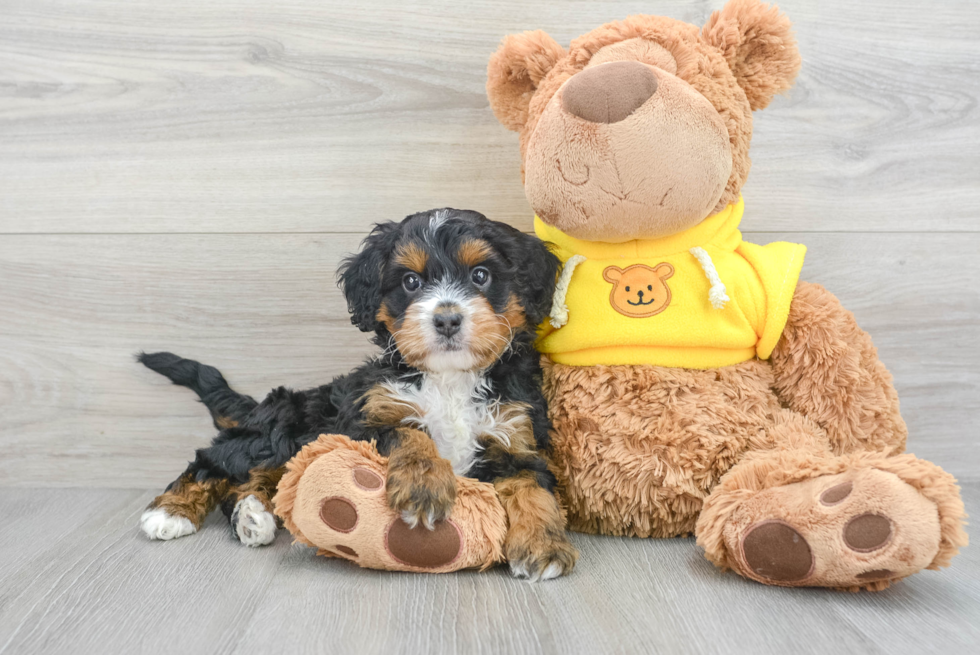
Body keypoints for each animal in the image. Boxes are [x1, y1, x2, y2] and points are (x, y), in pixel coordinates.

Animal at [142, 208, 580, 580]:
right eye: (410, 282)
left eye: (481, 275)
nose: (447, 319)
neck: (449, 378)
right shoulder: (366, 420)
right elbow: (408, 432)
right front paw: (424, 485)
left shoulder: (516, 436)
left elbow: (533, 487)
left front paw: (543, 546)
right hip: (283, 428)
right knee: (216, 460)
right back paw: (170, 512)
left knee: (254, 478)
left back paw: (252, 516)